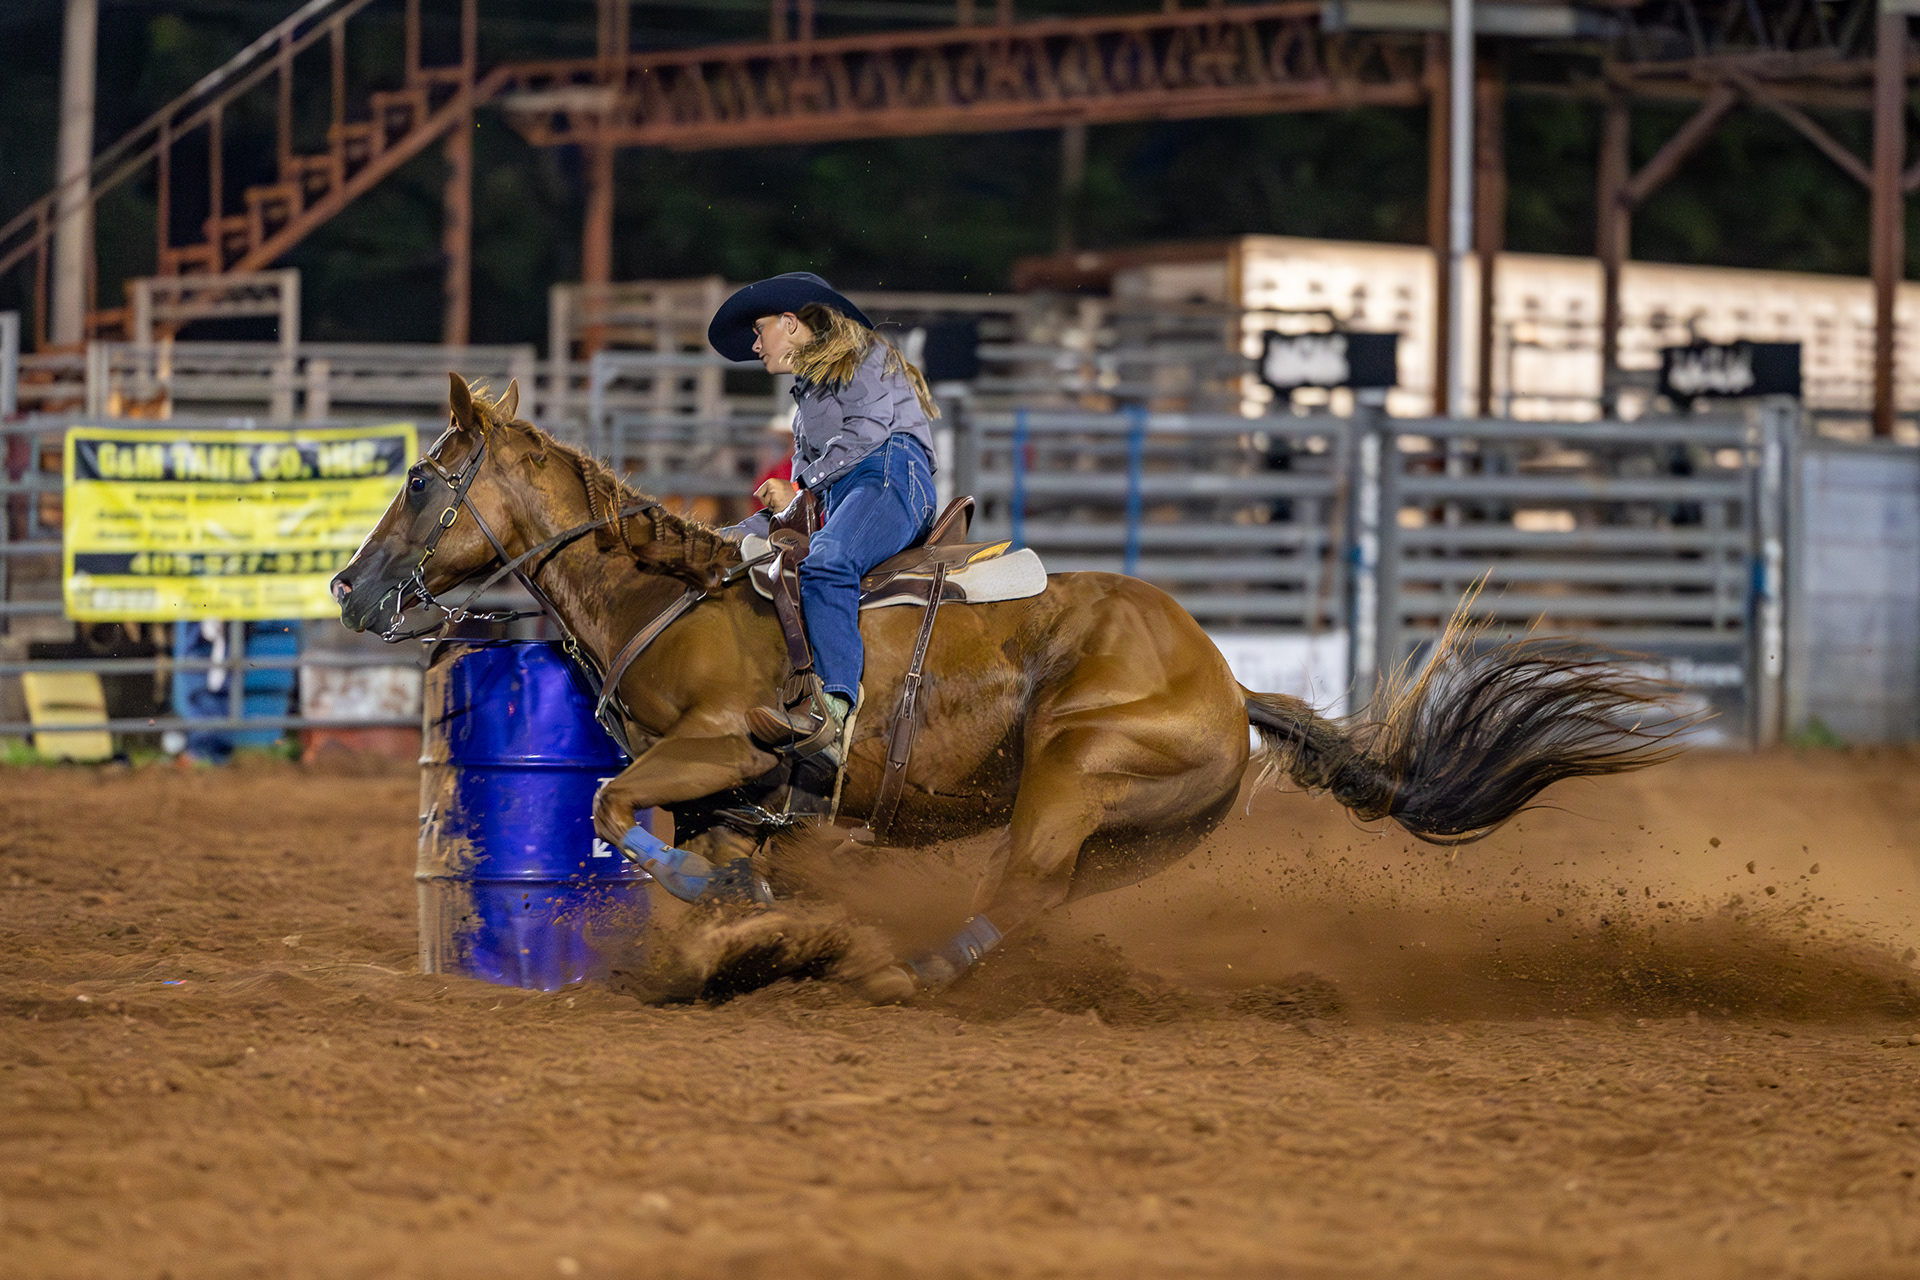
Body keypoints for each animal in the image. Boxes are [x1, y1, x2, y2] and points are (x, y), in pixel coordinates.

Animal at [333, 376, 1679, 1002]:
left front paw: (739, 913)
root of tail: (1230, 683)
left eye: (419, 479)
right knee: (1042, 899)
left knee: (1019, 885)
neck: (676, 595)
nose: (350, 587)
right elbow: (684, 854)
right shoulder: (733, 796)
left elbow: (611, 808)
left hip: (1079, 765)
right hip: (1132, 832)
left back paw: (908, 972)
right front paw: (734, 935)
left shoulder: (723, 747)